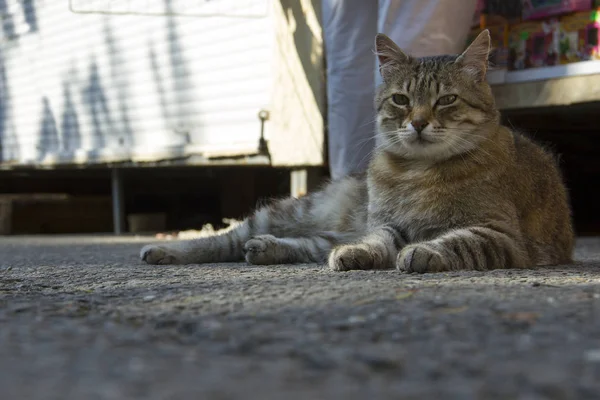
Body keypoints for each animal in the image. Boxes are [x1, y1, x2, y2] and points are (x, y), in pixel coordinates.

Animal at [139, 31, 572, 274]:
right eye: (401, 100)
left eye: (446, 100)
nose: (417, 122)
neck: (417, 172)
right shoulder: (387, 224)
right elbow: (377, 241)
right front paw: (364, 254)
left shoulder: (499, 234)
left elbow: (456, 241)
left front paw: (422, 252)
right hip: (292, 211)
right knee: (226, 238)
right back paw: (166, 250)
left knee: (313, 244)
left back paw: (267, 249)